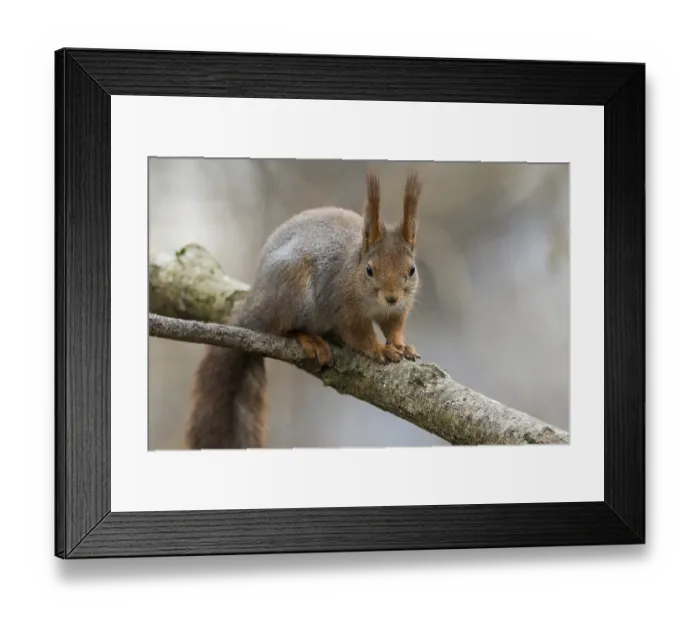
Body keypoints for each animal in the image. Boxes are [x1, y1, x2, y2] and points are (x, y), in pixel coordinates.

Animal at [184, 170, 423, 449]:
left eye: (411, 270)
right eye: (370, 270)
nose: (392, 297)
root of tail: (257, 304)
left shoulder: (397, 312)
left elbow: (394, 327)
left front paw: (401, 345)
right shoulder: (343, 308)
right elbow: (359, 335)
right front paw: (379, 349)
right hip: (293, 292)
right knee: (281, 329)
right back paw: (310, 340)